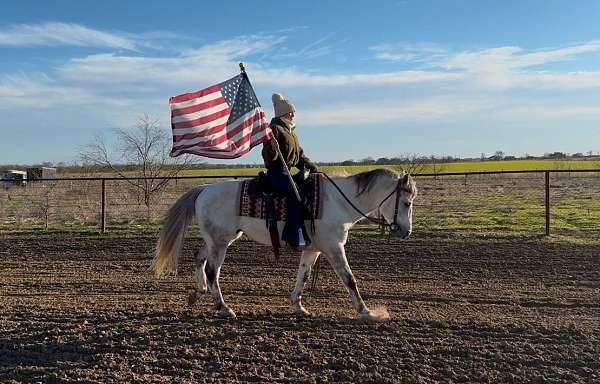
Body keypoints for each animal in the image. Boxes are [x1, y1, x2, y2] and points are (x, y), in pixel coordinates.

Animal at [152, 168, 418, 320]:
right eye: (406, 202)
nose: (406, 232)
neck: (339, 202)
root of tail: (205, 188)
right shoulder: (333, 247)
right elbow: (348, 278)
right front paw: (366, 312)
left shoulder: (313, 249)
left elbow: (304, 276)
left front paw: (298, 306)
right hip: (220, 242)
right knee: (211, 270)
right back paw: (223, 307)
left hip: (220, 238)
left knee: (199, 257)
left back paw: (197, 293)